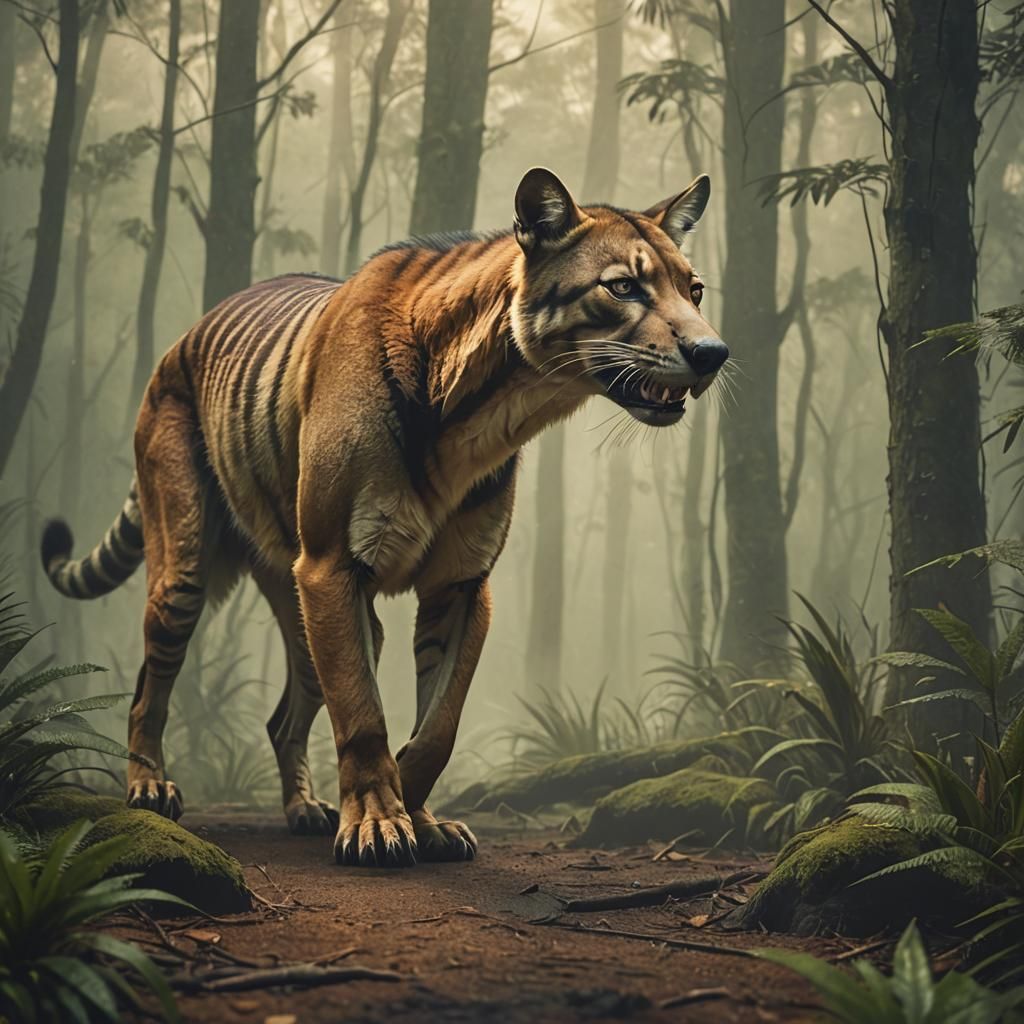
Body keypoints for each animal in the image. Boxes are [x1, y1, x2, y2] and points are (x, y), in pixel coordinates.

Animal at [41, 168, 728, 867]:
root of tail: (182, 339)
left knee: (284, 716)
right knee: (146, 692)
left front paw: (420, 819)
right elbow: (363, 714)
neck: (490, 409)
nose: (712, 352)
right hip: (185, 573)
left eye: (693, 289)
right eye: (623, 287)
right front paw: (376, 824)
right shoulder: (332, 568)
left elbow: (438, 724)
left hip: (297, 600)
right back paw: (150, 788)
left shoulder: (460, 584)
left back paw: (305, 809)